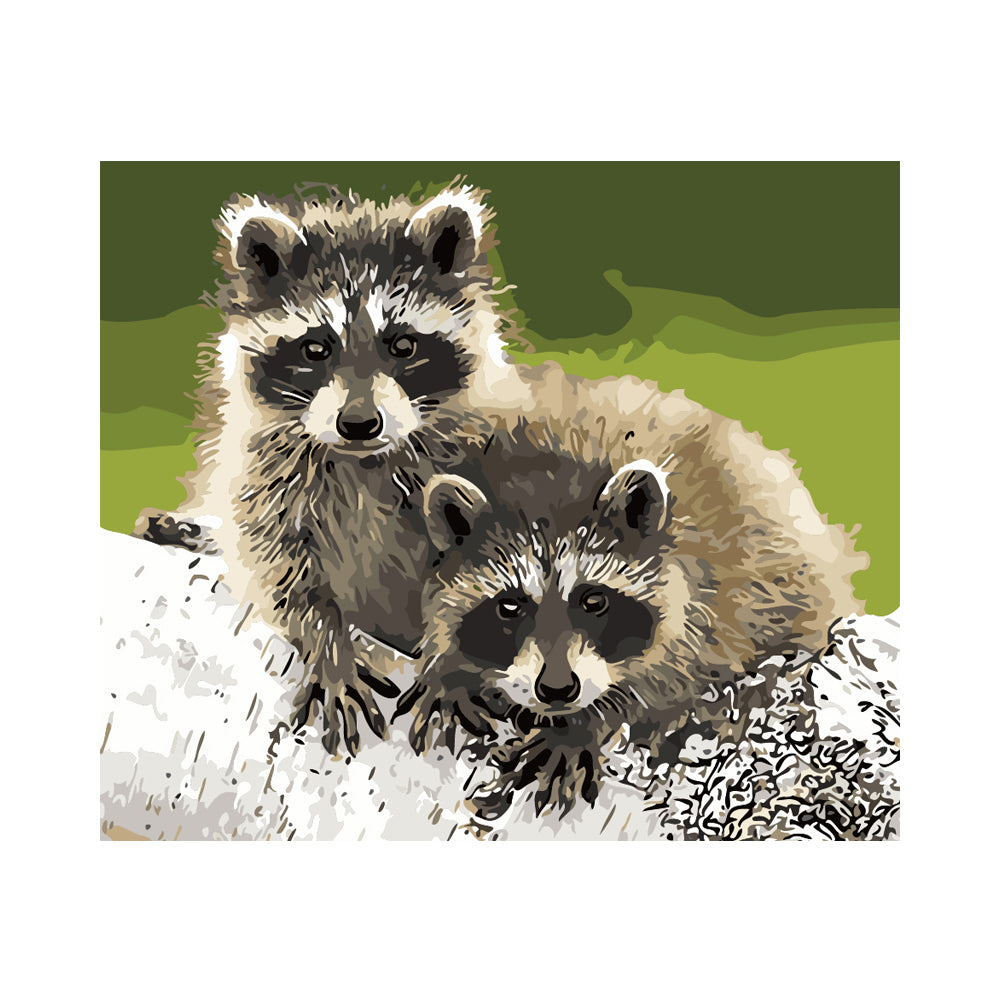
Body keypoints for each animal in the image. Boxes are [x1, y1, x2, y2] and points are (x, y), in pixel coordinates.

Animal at [138, 180, 530, 754]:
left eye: (403, 344)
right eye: (316, 347)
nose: (359, 422)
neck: (360, 461)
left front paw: (449, 664)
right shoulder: (264, 478)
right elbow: (279, 567)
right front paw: (326, 642)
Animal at [397, 373, 867, 818]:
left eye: (594, 601)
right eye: (510, 606)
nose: (557, 690)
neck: (554, 468)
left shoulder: (720, 595)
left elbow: (676, 683)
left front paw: (588, 723)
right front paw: (448, 672)